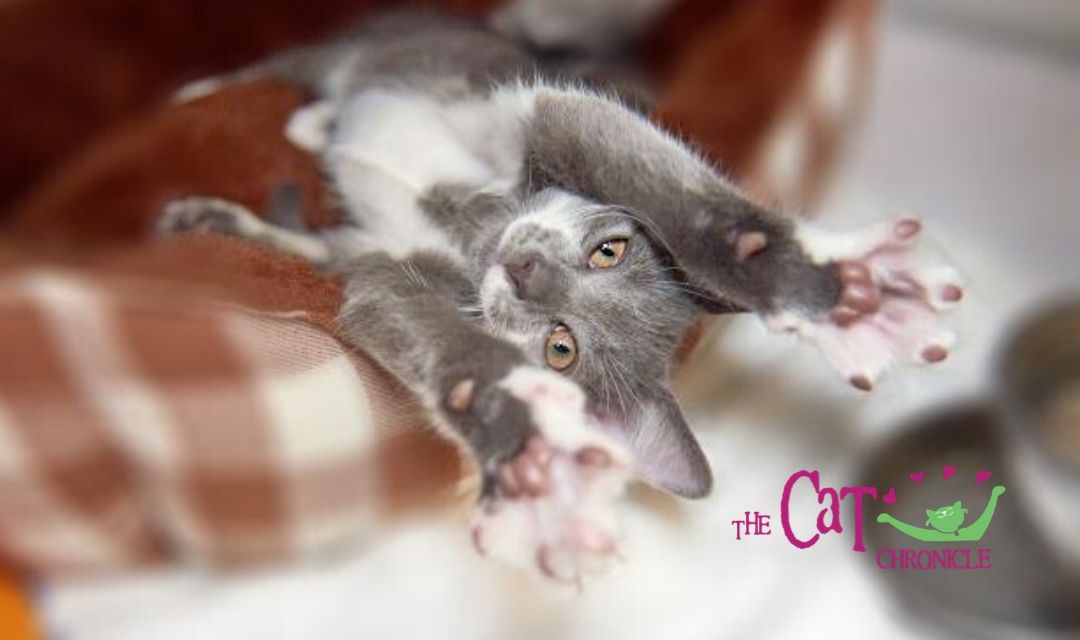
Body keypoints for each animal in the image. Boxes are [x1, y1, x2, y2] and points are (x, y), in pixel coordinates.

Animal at [156, 7, 959, 582]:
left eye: (561, 347)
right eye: (612, 249)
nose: (528, 271)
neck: (473, 232)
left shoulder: (379, 270)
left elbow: (409, 319)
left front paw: (530, 459)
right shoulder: (533, 112)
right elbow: (639, 171)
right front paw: (820, 289)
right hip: (389, 38)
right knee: (302, 62)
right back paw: (221, 97)